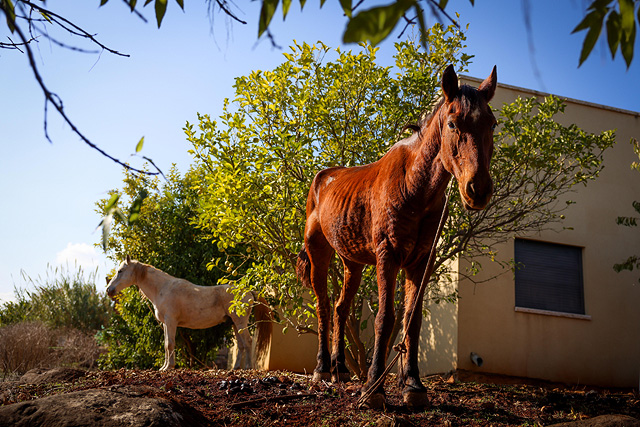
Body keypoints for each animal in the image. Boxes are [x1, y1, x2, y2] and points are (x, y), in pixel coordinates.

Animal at [298, 65, 498, 410]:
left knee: (340, 307)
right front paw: (374, 388)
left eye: (493, 124)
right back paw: (323, 367)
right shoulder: (387, 255)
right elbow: (385, 318)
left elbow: (412, 319)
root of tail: (323, 178)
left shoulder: (420, 261)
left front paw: (413, 384)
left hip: (352, 262)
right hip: (318, 252)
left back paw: (340, 369)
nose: (479, 189)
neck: (414, 186)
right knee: (323, 305)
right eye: (452, 123)